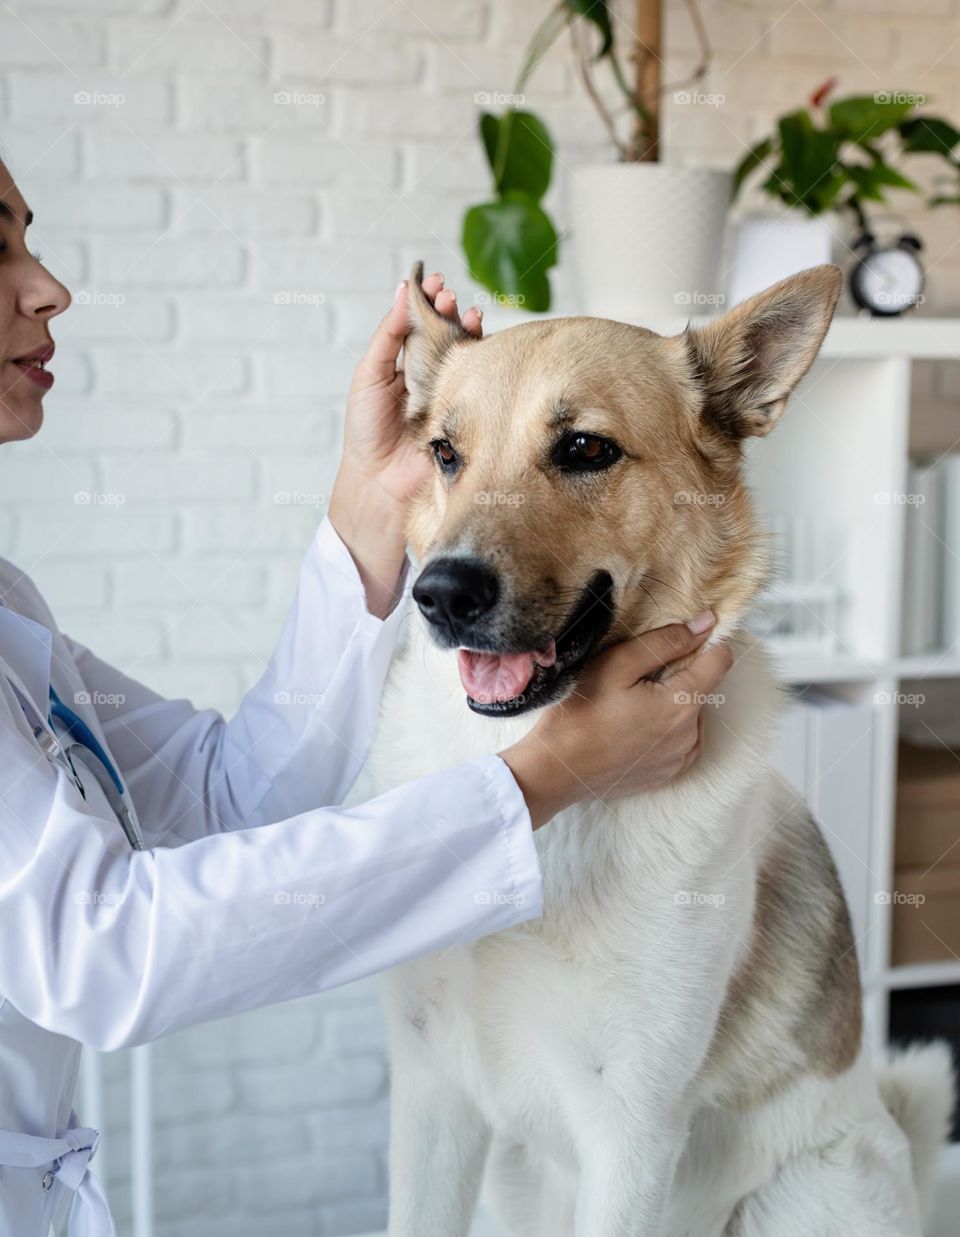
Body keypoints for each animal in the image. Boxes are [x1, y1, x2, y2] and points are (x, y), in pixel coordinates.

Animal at [368, 263, 950, 1237]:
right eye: (446, 454)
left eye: (585, 449)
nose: (440, 594)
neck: (543, 782)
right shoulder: (432, 1095)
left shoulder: (633, 1126)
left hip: (804, 1192)